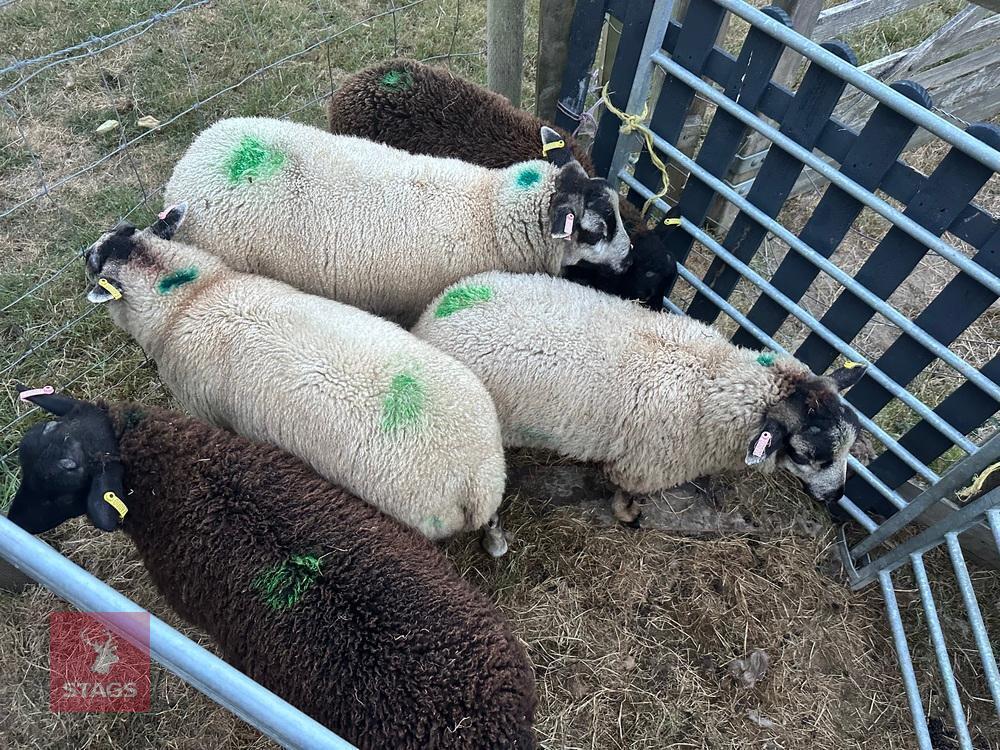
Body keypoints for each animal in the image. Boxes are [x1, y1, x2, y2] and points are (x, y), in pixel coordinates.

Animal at [412, 272, 868, 522]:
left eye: (851, 446)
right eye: (810, 456)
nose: (838, 497)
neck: (714, 378)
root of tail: (432, 314)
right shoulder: (644, 465)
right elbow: (628, 493)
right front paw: (628, 515)